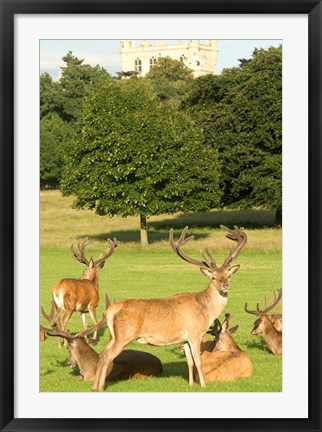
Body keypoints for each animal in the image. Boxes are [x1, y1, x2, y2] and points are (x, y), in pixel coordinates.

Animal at [92, 226, 247, 392]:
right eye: (213, 277)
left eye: (228, 275)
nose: (225, 285)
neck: (206, 310)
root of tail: (110, 310)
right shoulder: (195, 333)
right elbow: (198, 361)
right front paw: (203, 385)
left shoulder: (184, 339)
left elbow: (189, 362)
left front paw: (191, 384)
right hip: (125, 334)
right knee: (108, 356)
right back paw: (100, 387)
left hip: (113, 336)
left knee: (102, 354)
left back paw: (94, 386)